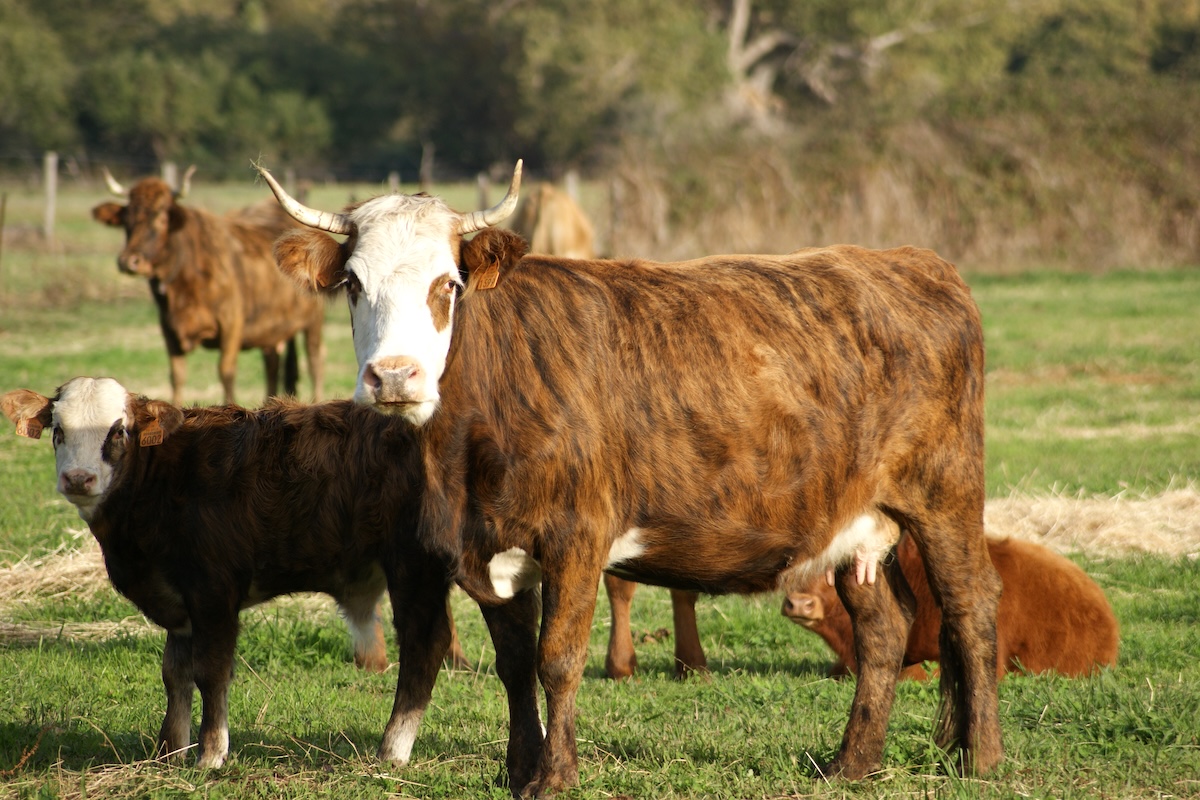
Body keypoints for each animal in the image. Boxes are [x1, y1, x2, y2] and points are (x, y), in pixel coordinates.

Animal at [2, 378, 468, 769]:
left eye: (118, 431)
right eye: (58, 430)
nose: (78, 478)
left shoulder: (213, 593)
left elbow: (211, 671)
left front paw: (210, 754)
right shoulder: (179, 603)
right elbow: (175, 674)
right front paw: (170, 750)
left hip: (413, 567)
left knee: (425, 647)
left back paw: (393, 750)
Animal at [92, 168, 326, 405]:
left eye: (161, 217)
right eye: (126, 219)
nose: (129, 261)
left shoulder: (232, 325)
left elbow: (226, 372)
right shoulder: (169, 330)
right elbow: (177, 375)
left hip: (313, 322)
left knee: (315, 361)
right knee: (273, 364)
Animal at [256, 160, 1004, 796]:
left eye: (448, 283)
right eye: (354, 284)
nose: (393, 376)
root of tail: (909, 261)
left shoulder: (576, 538)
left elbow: (558, 658)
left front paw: (555, 775)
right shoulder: (485, 548)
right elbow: (513, 663)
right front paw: (518, 769)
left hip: (945, 496)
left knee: (971, 607)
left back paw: (983, 758)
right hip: (856, 522)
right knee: (883, 627)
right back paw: (853, 763)